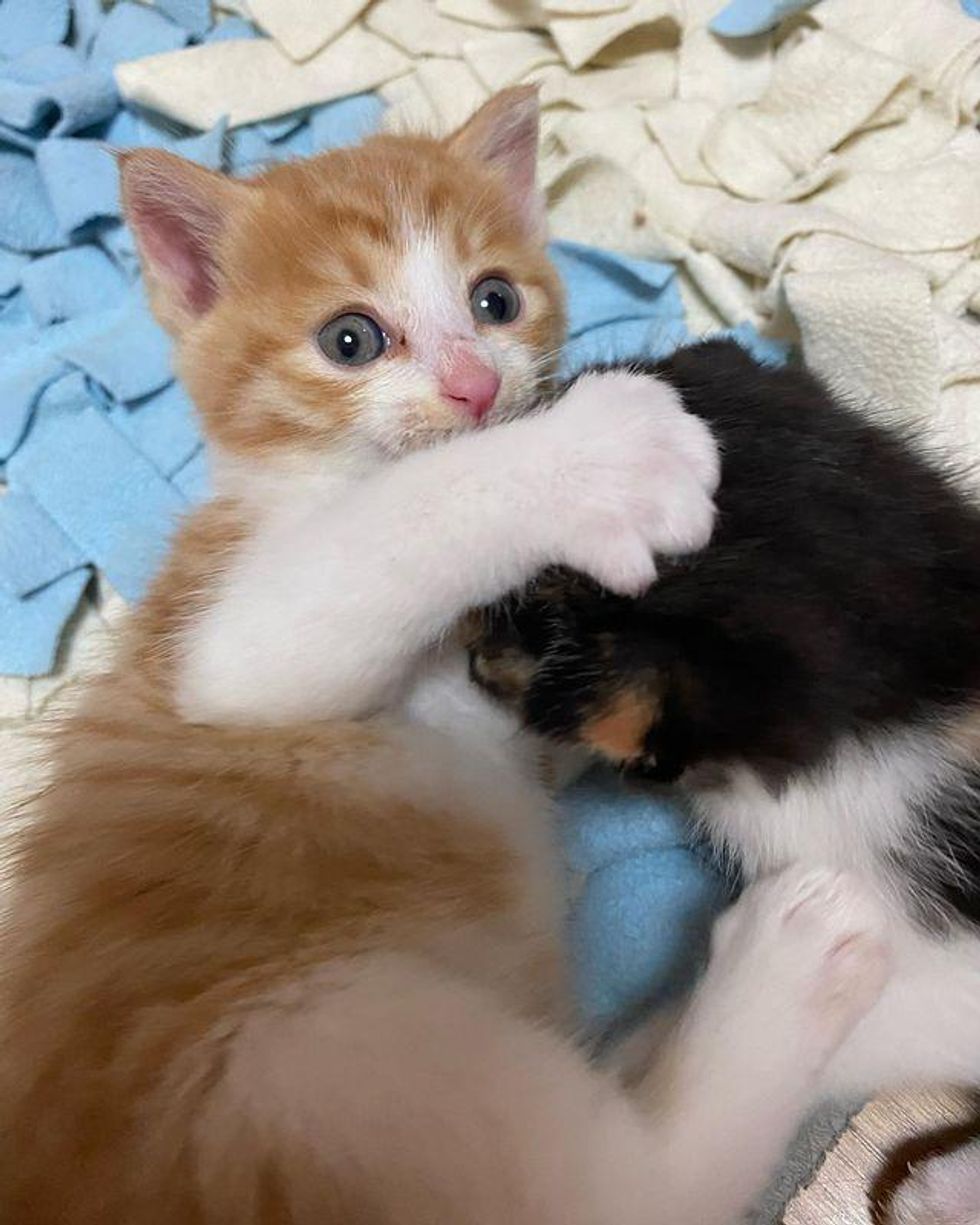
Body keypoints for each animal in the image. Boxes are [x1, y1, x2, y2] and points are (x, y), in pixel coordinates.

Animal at [0, 88, 886, 1225]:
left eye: (494, 299)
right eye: (349, 339)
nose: (472, 386)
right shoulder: (223, 648)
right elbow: (393, 526)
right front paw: (594, 455)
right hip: (311, 1051)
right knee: (619, 1188)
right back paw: (792, 955)